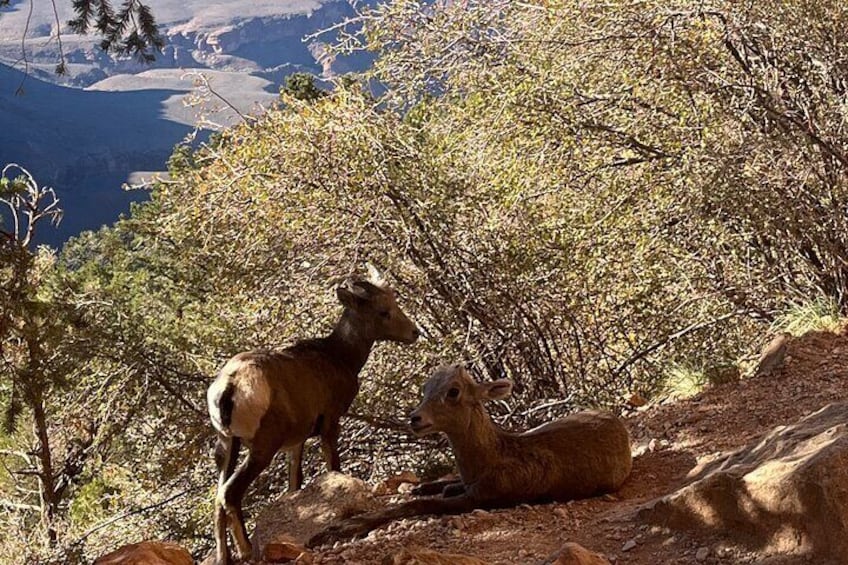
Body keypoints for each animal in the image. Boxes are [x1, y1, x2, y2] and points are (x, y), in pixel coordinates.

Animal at [205, 270, 418, 560]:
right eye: (383, 312)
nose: (415, 333)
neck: (338, 355)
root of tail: (230, 386)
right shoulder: (329, 422)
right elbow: (333, 465)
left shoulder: (296, 442)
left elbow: (295, 483)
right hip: (261, 448)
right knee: (229, 493)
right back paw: (247, 550)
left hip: (227, 446)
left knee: (217, 499)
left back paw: (224, 556)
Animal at [308, 364, 632, 544]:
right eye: (425, 388)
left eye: (453, 391)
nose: (415, 419)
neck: (493, 457)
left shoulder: (482, 497)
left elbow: (419, 505)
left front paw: (331, 532)